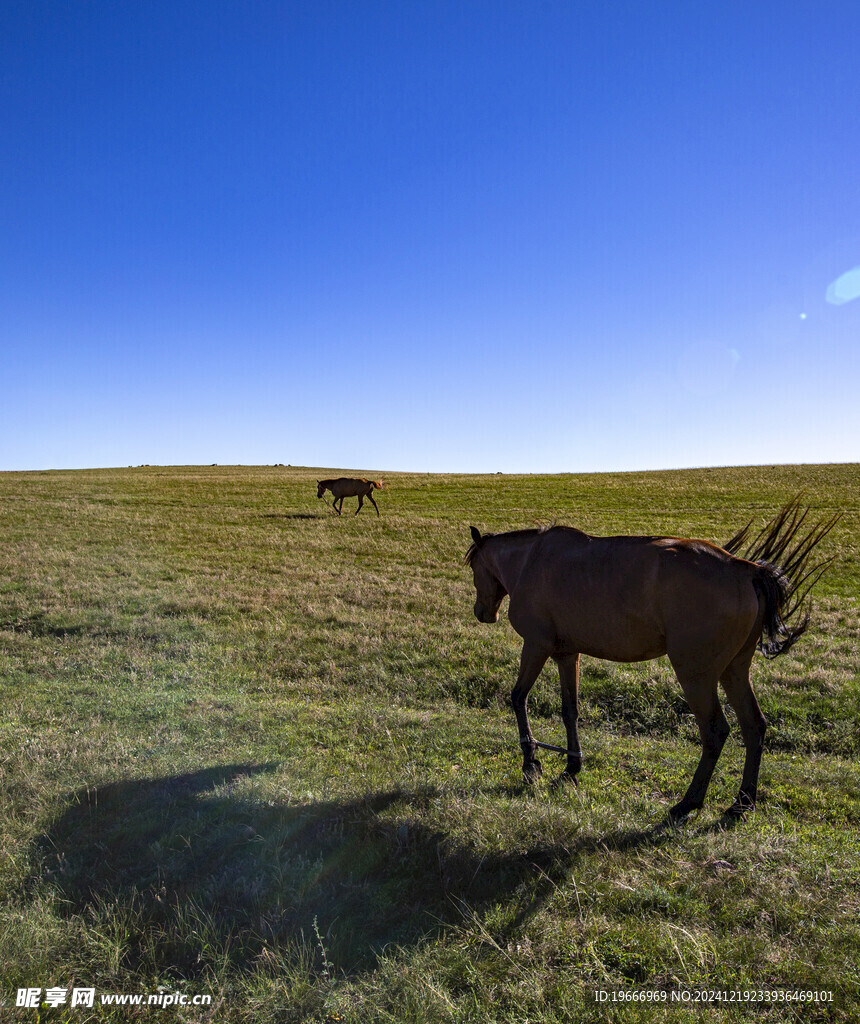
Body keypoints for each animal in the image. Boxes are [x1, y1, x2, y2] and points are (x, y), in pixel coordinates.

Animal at [466, 499, 835, 819]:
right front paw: (572, 765)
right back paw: (742, 802)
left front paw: (530, 763)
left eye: (472, 566)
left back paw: (688, 803)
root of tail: (746, 569)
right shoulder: (566, 655)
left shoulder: (536, 646)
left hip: (696, 675)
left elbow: (518, 697)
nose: (482, 613)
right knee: (753, 726)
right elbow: (569, 710)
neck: (531, 560)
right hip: (734, 671)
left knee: (715, 731)